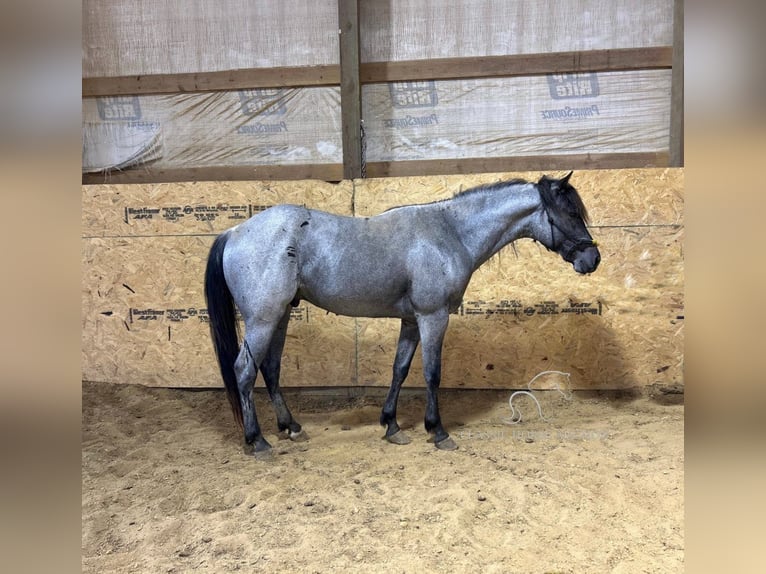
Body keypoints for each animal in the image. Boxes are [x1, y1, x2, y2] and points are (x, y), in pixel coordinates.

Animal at [207, 171, 604, 460]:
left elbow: (399, 369)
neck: (449, 233)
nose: (593, 259)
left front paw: (391, 426)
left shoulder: (412, 320)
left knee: (271, 369)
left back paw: (291, 428)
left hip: (280, 317)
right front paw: (437, 431)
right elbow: (431, 373)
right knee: (244, 371)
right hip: (263, 319)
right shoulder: (433, 317)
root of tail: (234, 231)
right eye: (571, 213)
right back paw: (258, 441)